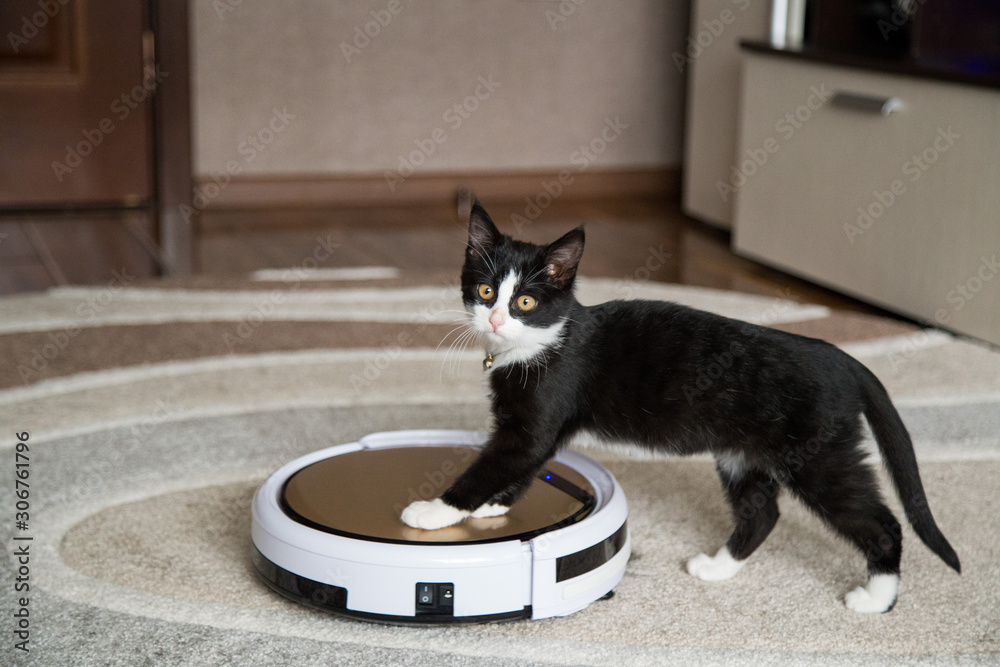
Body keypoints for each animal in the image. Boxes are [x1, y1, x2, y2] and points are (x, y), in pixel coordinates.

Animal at [400, 201, 960, 612]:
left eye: (525, 303)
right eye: (486, 290)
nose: (495, 320)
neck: (538, 344)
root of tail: (840, 358)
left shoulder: (539, 415)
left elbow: (496, 461)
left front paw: (437, 509)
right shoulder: (539, 427)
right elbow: (527, 461)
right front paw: (495, 504)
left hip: (820, 456)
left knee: (880, 523)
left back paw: (876, 597)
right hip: (742, 454)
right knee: (764, 512)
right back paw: (717, 567)